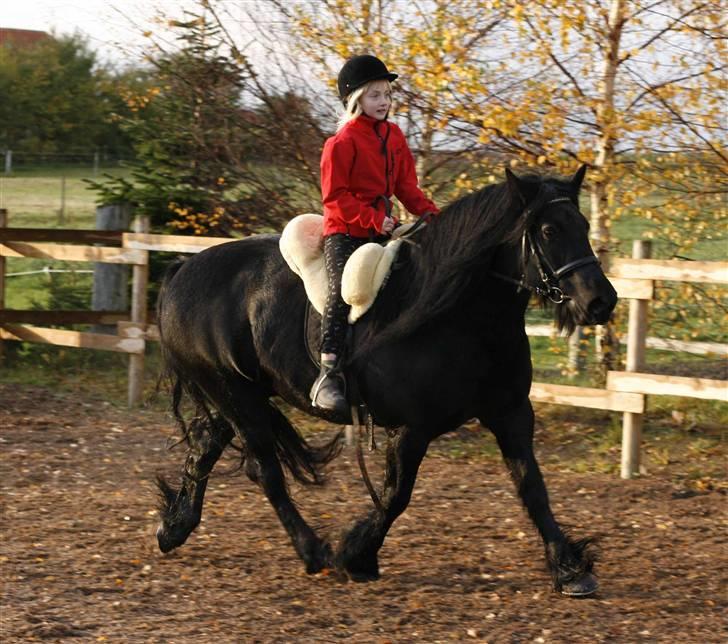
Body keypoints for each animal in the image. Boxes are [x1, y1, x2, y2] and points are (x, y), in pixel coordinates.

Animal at [155, 165, 617, 596]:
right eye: (549, 230)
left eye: (584, 226)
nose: (601, 301)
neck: (464, 317)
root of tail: (183, 268)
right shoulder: (414, 427)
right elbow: (397, 494)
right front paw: (355, 555)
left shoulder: (511, 414)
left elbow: (532, 486)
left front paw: (569, 569)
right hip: (234, 395)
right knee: (265, 471)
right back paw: (313, 552)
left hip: (241, 393)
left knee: (206, 444)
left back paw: (174, 528)